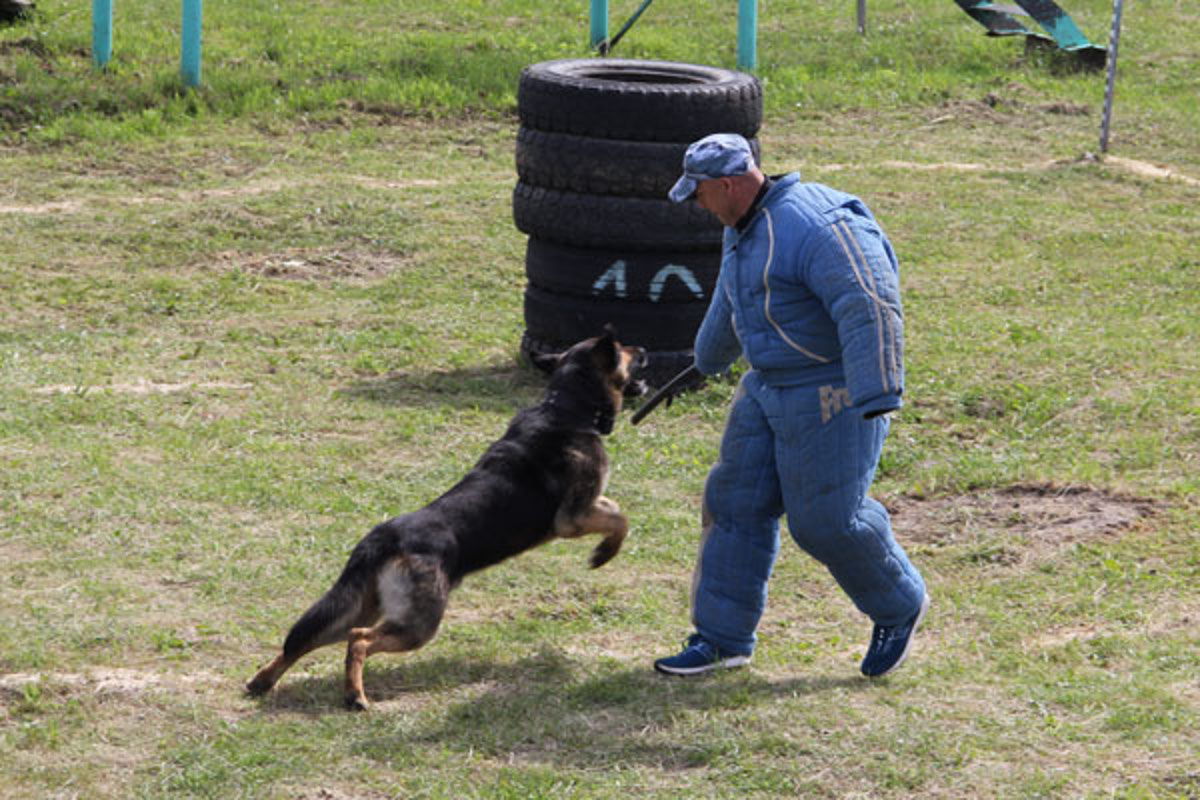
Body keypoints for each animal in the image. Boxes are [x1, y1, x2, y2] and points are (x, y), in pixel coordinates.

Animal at [242, 331, 648, 714]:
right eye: (625, 350)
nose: (645, 350)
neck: (567, 407)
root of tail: (383, 538)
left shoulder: (589, 506)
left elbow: (615, 508)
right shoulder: (572, 518)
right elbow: (621, 518)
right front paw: (603, 554)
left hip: (359, 606)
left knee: (302, 639)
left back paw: (264, 680)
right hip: (418, 624)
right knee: (358, 639)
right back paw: (355, 695)